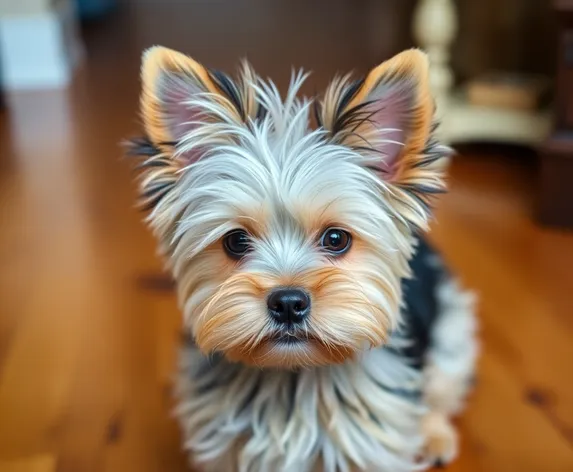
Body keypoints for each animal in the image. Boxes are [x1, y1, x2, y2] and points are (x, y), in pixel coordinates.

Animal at [126, 47, 478, 472]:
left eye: (337, 239)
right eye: (236, 241)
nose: (288, 303)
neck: (293, 374)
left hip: (452, 333)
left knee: (441, 390)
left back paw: (435, 435)